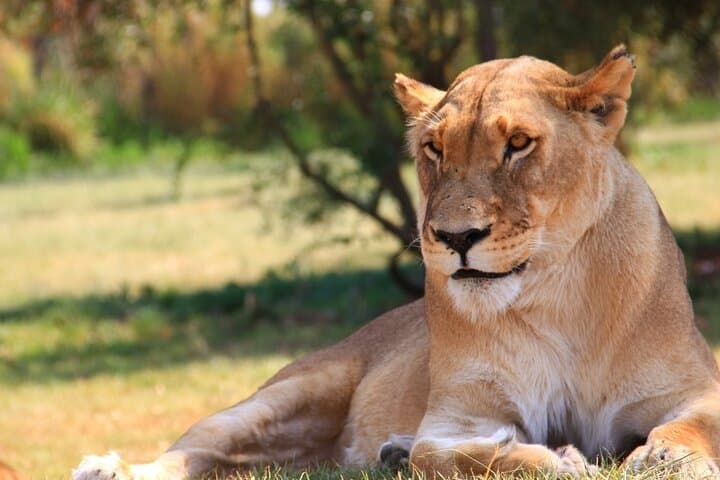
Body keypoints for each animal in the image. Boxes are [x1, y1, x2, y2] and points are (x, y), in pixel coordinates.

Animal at [73, 46, 720, 479]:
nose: (456, 237)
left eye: (518, 144)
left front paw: (666, 456)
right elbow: (450, 455)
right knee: (197, 446)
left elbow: (691, 426)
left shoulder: (695, 385)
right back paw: (108, 468)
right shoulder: (458, 414)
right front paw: (554, 458)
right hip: (288, 393)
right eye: (434, 149)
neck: (554, 292)